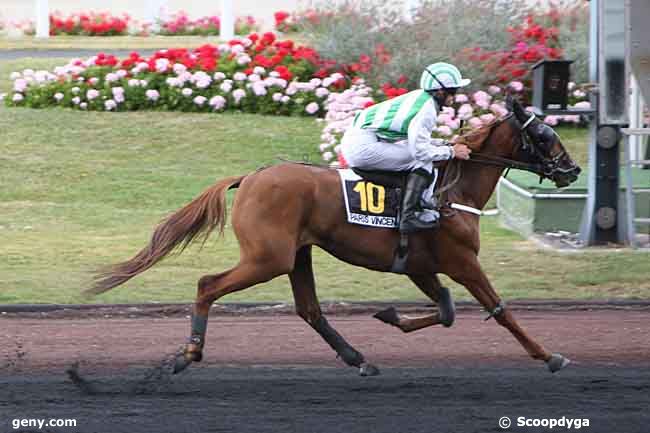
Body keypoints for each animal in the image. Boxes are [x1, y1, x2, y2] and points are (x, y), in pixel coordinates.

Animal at [90, 97, 576, 374]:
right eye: (543, 133)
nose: (572, 170)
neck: (450, 191)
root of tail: (251, 177)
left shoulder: (419, 265)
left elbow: (446, 311)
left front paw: (391, 316)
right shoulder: (462, 262)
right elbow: (499, 310)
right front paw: (548, 355)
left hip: (295, 255)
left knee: (309, 309)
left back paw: (357, 359)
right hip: (269, 258)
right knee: (208, 285)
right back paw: (188, 354)